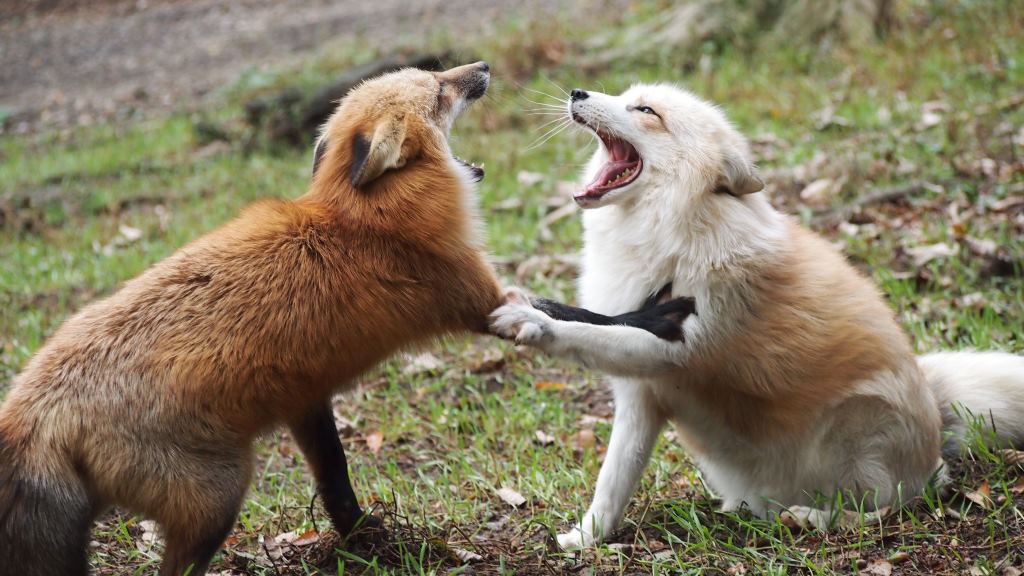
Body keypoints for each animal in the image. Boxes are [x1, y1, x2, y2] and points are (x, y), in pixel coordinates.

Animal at [0, 62, 508, 576]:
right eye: (438, 88)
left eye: (433, 73)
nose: (483, 67)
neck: (362, 215)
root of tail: (31, 411)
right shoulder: (477, 298)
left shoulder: (306, 398)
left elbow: (335, 479)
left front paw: (366, 540)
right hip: (219, 494)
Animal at [490, 83, 1024, 549]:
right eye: (624, 95)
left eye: (646, 111)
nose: (577, 92)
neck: (670, 235)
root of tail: (935, 421)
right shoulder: (640, 394)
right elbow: (611, 482)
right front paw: (585, 540)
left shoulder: (675, 348)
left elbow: (580, 332)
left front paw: (532, 323)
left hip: (857, 435)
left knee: (890, 507)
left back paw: (814, 517)